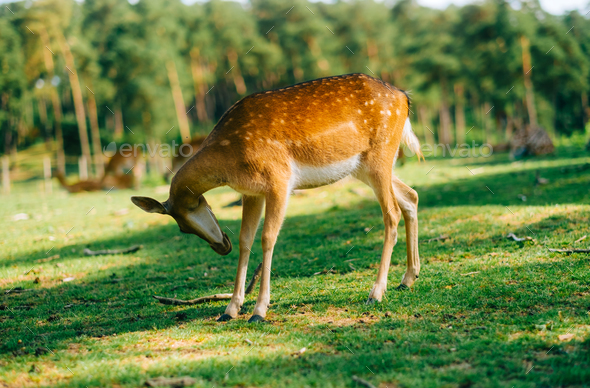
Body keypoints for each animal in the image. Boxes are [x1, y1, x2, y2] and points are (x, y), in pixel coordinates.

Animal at [132, 73, 424, 322]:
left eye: (185, 221)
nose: (221, 247)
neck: (229, 156)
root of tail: (403, 97)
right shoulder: (251, 192)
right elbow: (245, 240)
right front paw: (230, 309)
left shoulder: (278, 180)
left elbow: (268, 237)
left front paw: (259, 310)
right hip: (363, 167)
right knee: (411, 196)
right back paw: (407, 278)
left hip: (380, 156)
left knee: (392, 213)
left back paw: (376, 293)